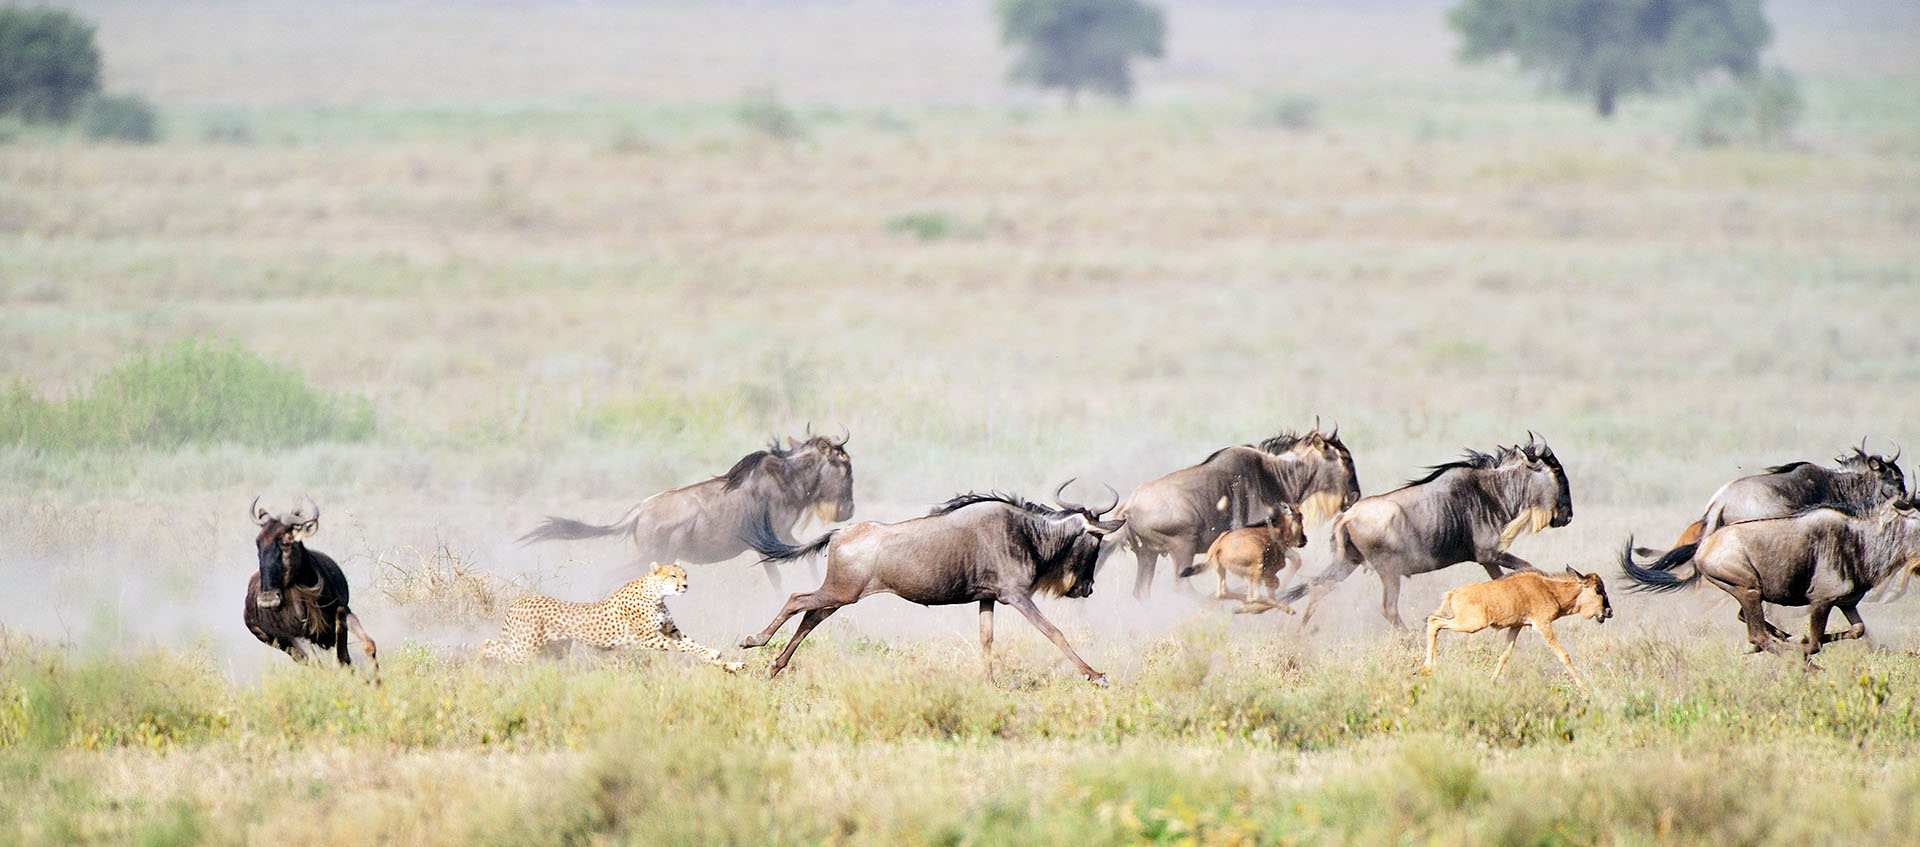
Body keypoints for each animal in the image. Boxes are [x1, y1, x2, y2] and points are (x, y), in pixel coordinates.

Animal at [1175, 503, 1313, 614]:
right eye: (1300, 517)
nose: (1304, 539)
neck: (1275, 528)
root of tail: (1218, 547)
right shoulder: (1269, 572)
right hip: (1256, 566)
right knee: (1254, 596)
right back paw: (1284, 609)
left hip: (1222, 570)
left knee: (1223, 592)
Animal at [1420, 568, 1612, 687]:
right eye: (1598, 589)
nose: (1609, 612)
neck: (1551, 590)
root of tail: (1452, 594)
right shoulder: (1543, 625)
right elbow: (1563, 655)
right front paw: (1586, 692)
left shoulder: (1517, 626)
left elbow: (1504, 655)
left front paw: (1491, 682)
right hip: (1471, 624)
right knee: (1433, 622)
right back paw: (1427, 668)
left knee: (1434, 623)